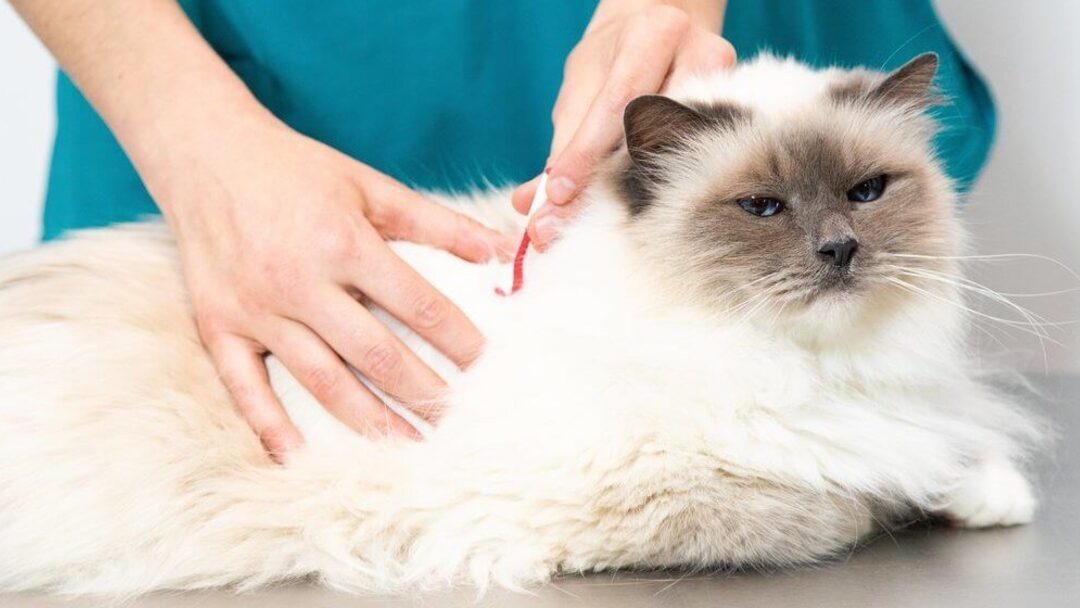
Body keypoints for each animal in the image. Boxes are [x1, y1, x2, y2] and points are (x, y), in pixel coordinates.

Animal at [0, 52, 1045, 596]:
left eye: (868, 193)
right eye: (762, 209)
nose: (838, 251)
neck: (803, 364)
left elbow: (937, 456)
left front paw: (990, 495)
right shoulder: (622, 499)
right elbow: (842, 507)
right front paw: (917, 498)